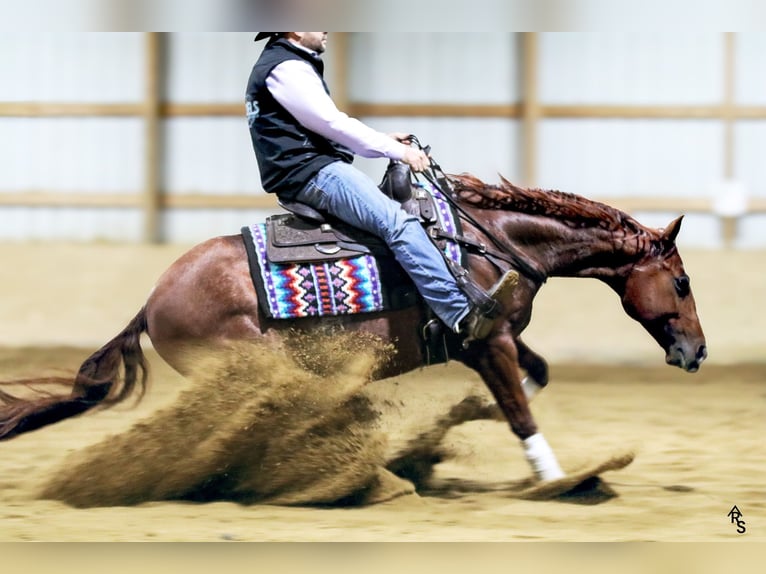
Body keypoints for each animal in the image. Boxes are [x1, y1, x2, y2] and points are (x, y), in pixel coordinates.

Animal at [0, 176, 708, 486]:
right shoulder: (488, 341)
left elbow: (532, 381)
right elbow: (520, 412)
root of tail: (151, 303)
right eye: (680, 283)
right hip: (252, 369)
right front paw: (560, 479)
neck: (489, 243)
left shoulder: (492, 338)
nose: (697, 351)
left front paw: (447, 430)